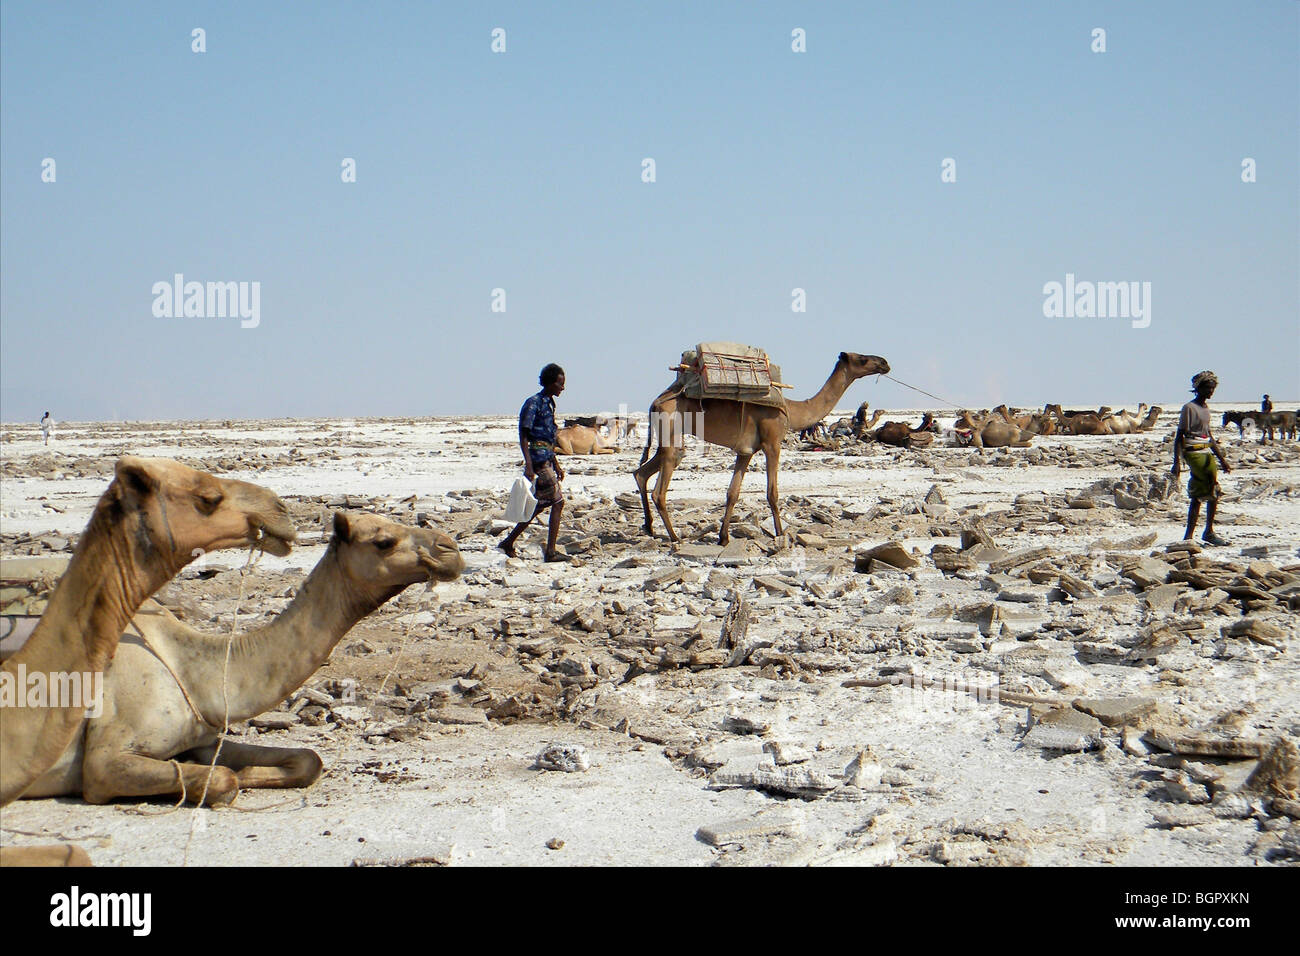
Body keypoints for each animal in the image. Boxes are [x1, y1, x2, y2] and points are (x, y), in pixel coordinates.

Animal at [17, 512, 462, 811]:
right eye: (383, 540)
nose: (451, 548)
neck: (189, 668)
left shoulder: (201, 737)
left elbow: (308, 759)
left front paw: (252, 775)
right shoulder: (103, 763)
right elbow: (222, 779)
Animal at [631, 351, 894, 546]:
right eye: (862, 358)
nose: (885, 362)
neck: (792, 410)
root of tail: (655, 403)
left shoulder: (746, 450)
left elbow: (733, 493)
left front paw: (723, 537)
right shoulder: (772, 443)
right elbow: (772, 492)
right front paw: (781, 534)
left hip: (665, 440)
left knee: (641, 472)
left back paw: (650, 527)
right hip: (672, 430)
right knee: (659, 489)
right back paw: (675, 537)